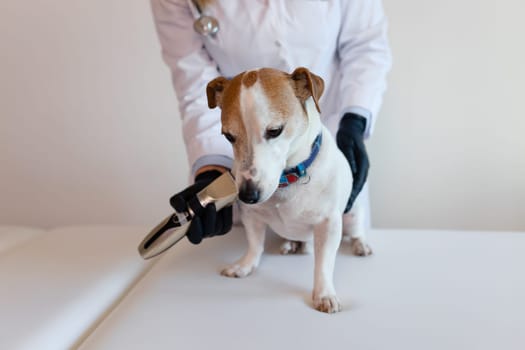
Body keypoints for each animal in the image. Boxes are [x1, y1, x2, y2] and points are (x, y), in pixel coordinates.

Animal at [207, 67, 370, 314]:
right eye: (228, 136)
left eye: (275, 131)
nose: (248, 195)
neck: (288, 179)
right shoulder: (251, 216)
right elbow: (255, 245)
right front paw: (245, 265)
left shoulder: (329, 224)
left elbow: (323, 264)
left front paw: (324, 293)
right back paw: (291, 243)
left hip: (352, 212)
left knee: (357, 229)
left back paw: (360, 244)